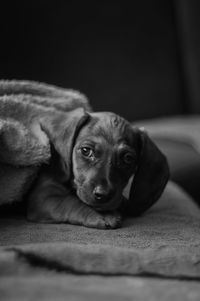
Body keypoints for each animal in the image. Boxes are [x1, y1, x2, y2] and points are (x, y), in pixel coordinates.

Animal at [27, 109, 169, 229]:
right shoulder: (43, 196)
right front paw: (100, 215)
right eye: (86, 150)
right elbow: (69, 201)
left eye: (128, 158)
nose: (104, 194)